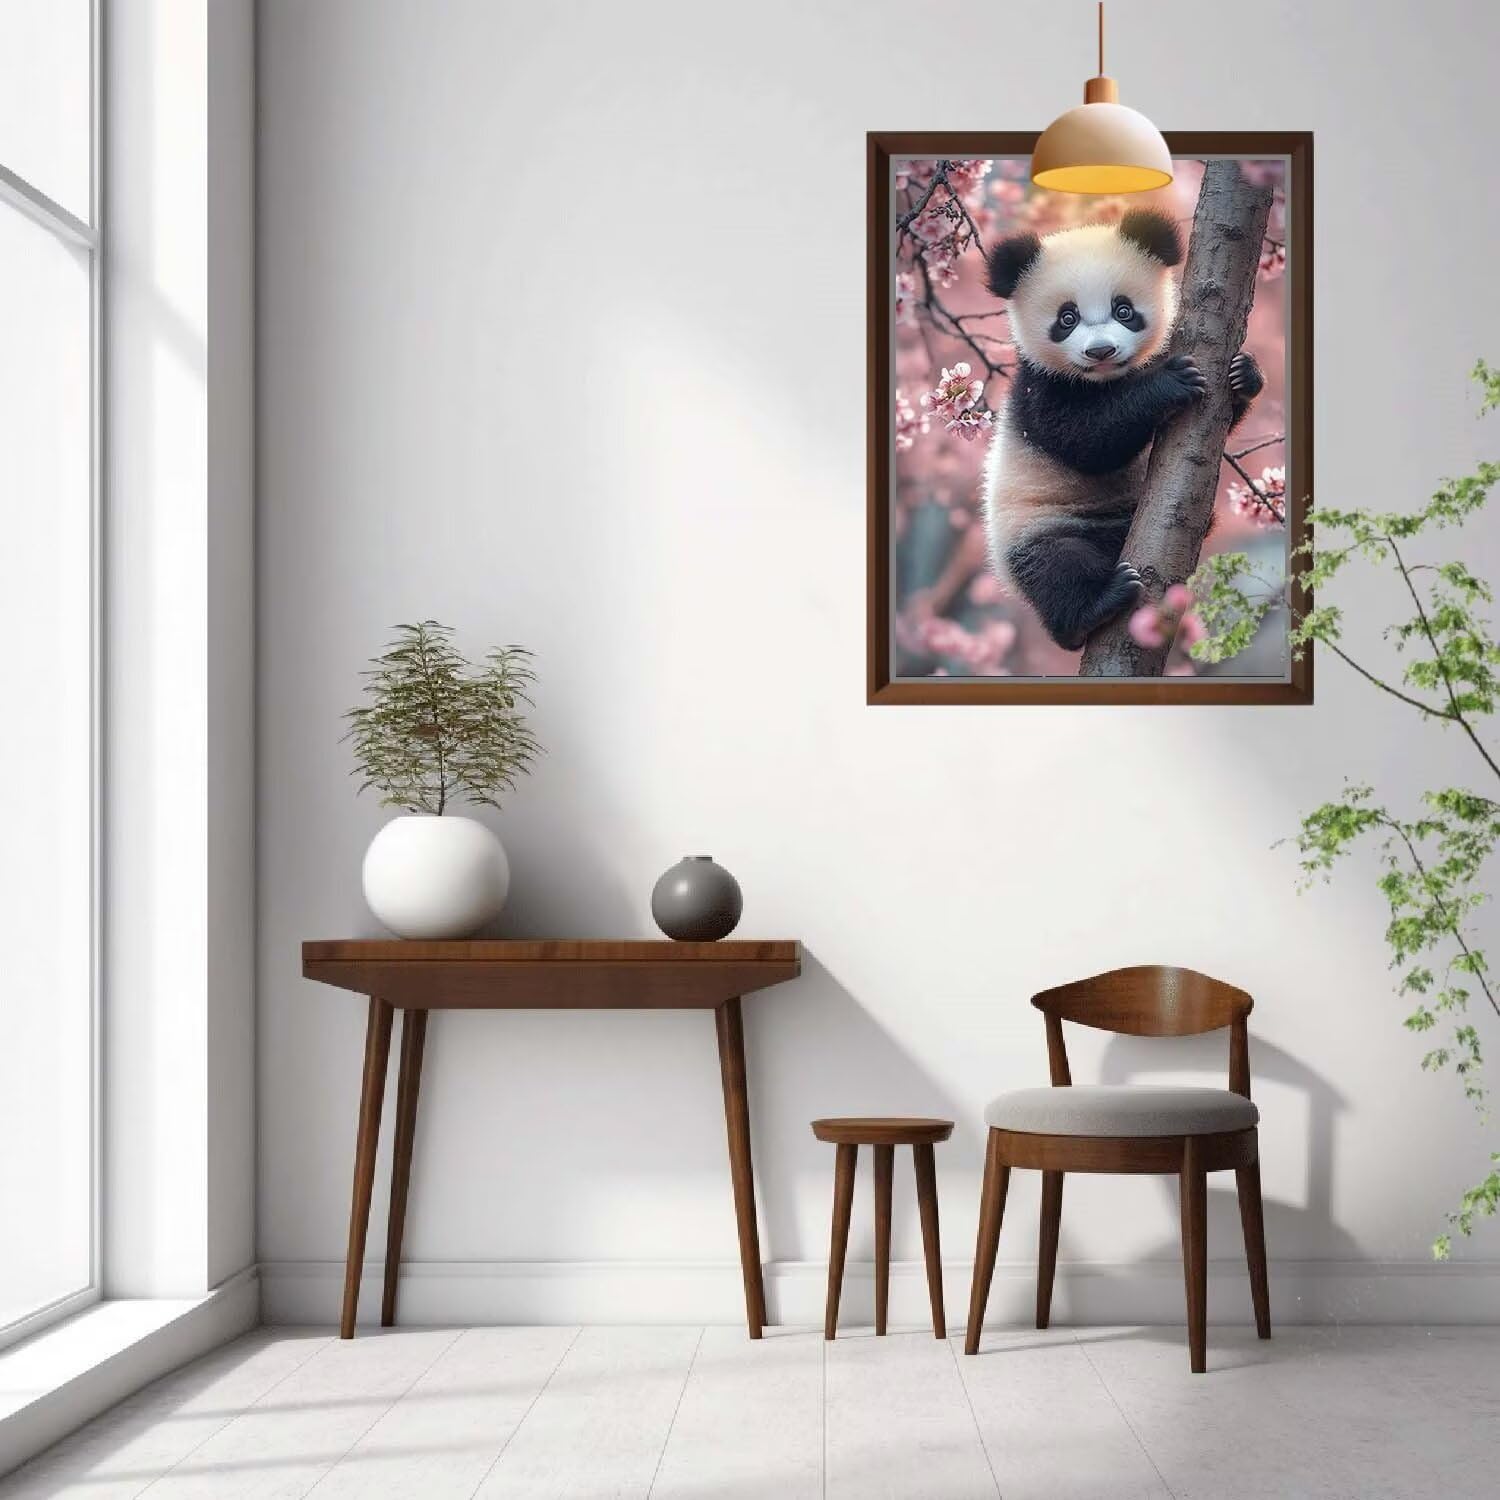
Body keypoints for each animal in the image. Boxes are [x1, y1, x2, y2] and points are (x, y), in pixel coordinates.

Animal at [979, 208, 1263, 651]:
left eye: (1124, 310)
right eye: (1067, 318)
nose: (1101, 351)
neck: (1107, 379)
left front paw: (1244, 374)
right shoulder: (1038, 389)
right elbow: (1084, 440)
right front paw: (1167, 384)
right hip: (1034, 525)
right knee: (1055, 567)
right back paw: (1089, 611)